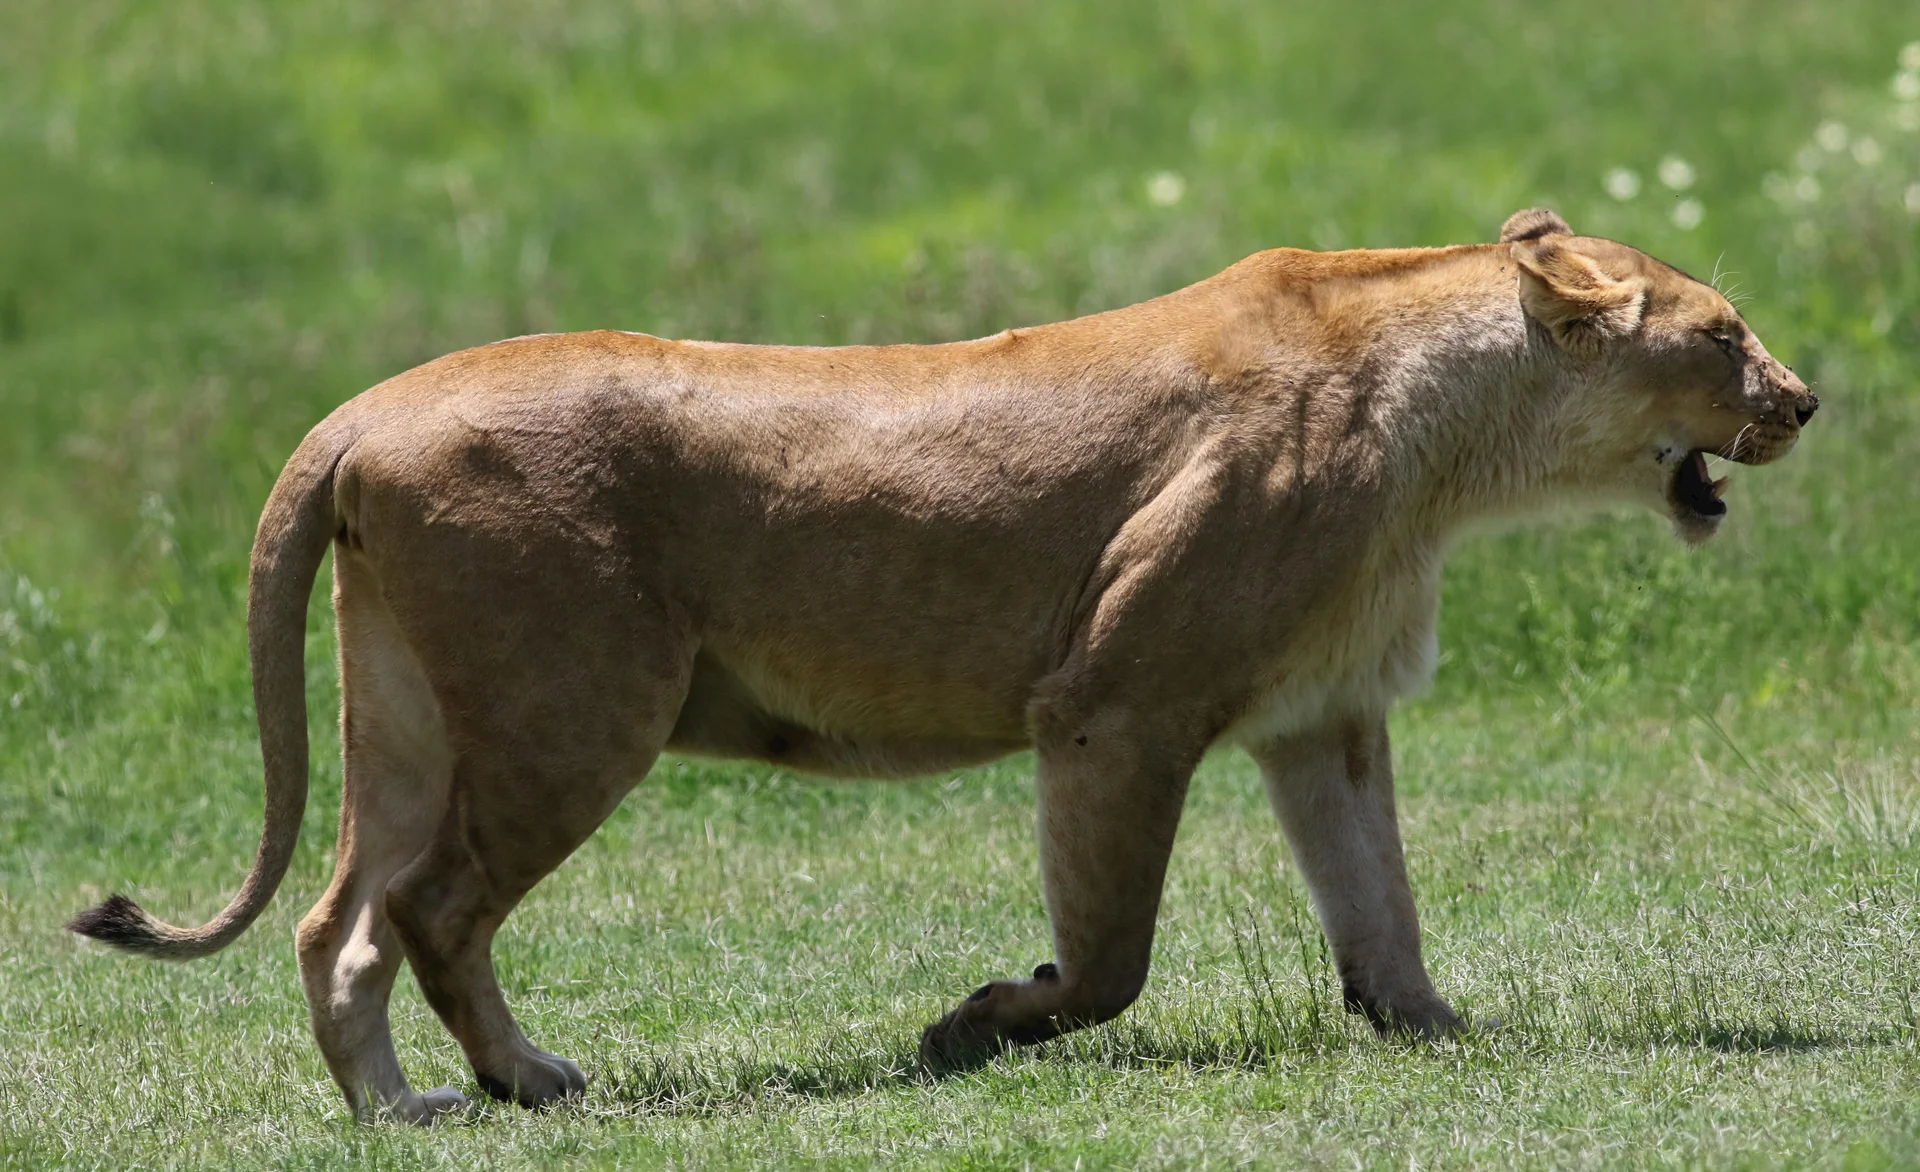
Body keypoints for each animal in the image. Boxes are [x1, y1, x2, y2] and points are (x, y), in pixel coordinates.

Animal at [69, 208, 1815, 1122]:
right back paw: (526, 1083)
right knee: (432, 911)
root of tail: (360, 412)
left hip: (414, 725)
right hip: (577, 712)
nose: (1804, 401)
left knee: (336, 920)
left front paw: (1441, 1033)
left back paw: (401, 1110)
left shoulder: (1323, 719)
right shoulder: (1114, 705)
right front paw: (973, 1024)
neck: (1453, 446)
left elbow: (1378, 903)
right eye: (1725, 335)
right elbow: (1111, 959)